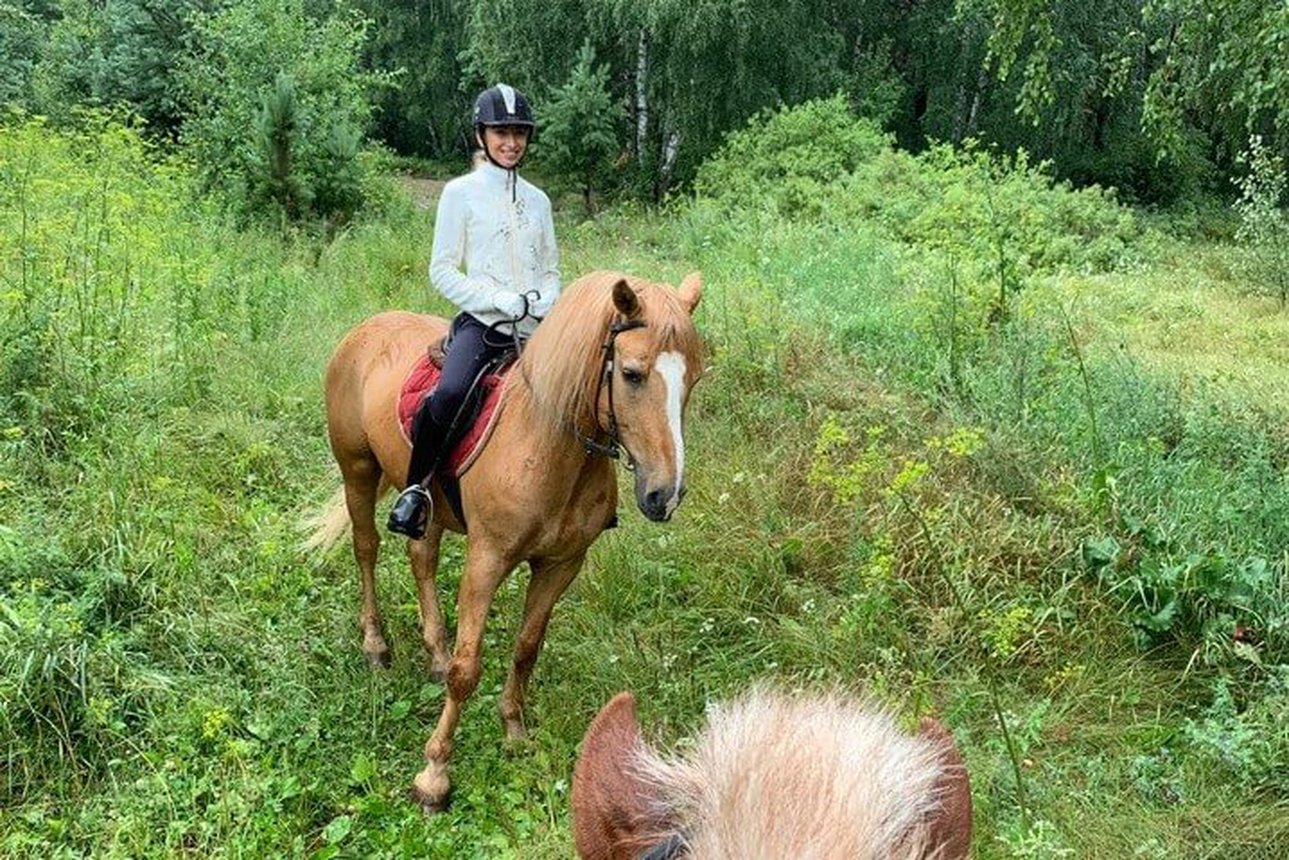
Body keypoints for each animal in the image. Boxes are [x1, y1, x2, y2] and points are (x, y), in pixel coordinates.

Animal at [305, 272, 706, 809]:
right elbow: (467, 669)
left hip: (428, 499)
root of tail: (366, 329)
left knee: (421, 556)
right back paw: (376, 646)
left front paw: (515, 732)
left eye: (694, 379)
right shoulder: (487, 558)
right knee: (366, 549)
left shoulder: (562, 564)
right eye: (632, 374)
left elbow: (526, 647)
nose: (665, 494)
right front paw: (434, 775)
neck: (543, 444)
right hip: (358, 470)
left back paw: (433, 653)